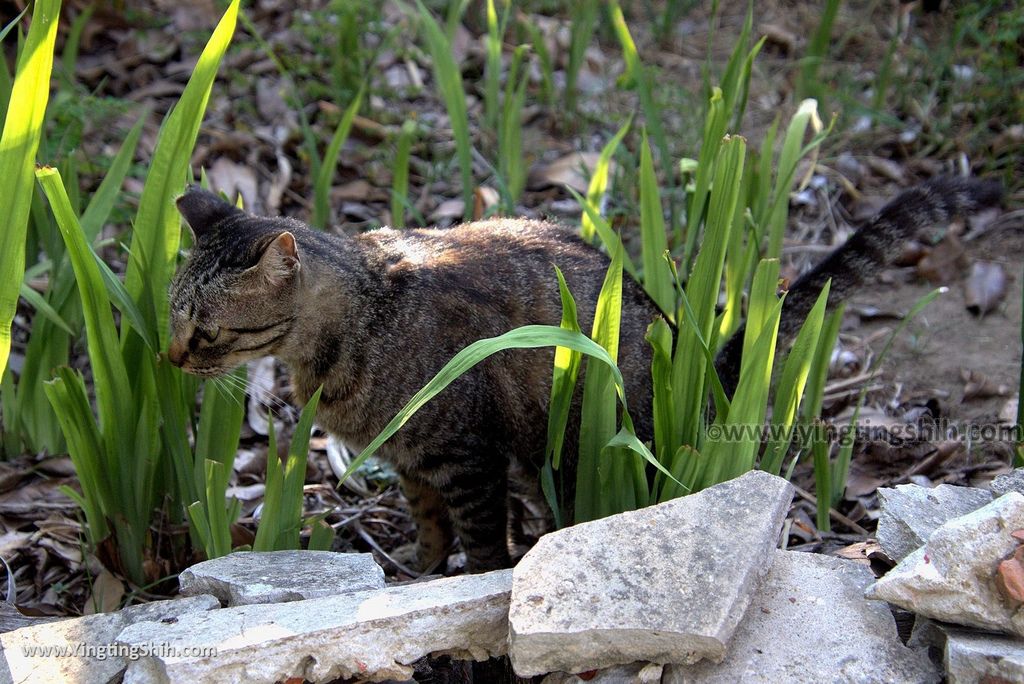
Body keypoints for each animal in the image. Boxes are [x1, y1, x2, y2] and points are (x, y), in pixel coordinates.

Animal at [167, 175, 999, 573]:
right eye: (171, 315)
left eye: (205, 329)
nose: (165, 358)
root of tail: (696, 367)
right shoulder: (412, 463)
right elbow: (431, 527)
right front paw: (418, 568)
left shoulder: (466, 454)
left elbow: (480, 538)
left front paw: (460, 579)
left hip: (569, 455)